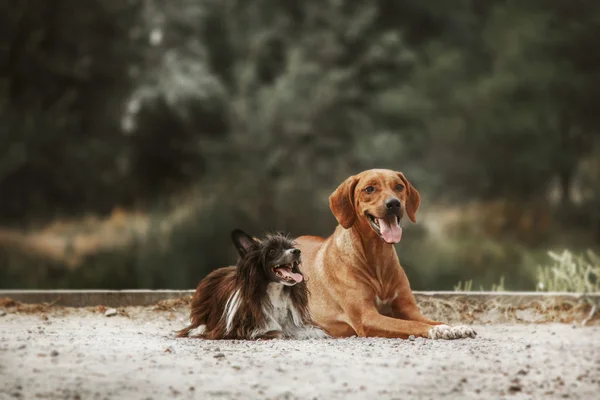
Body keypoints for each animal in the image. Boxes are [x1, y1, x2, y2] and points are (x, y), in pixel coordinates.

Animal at [296, 169, 478, 340]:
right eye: (369, 189)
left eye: (399, 187)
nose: (393, 204)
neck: (378, 256)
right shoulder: (366, 317)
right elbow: (408, 325)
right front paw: (438, 330)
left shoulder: (409, 310)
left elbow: (429, 320)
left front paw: (454, 327)